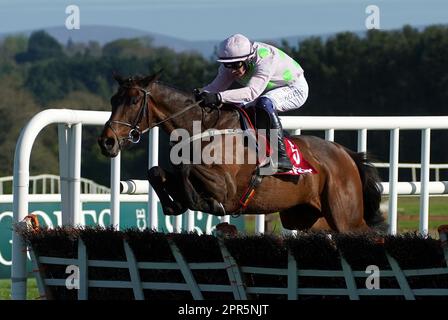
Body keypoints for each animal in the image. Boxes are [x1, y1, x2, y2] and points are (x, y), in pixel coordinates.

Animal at [98, 72, 384, 232]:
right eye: (113, 100)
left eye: (134, 100)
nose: (107, 142)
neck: (206, 127)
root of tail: (345, 154)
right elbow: (157, 171)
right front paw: (173, 204)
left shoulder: (227, 185)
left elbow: (189, 171)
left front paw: (202, 202)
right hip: (307, 219)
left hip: (345, 217)